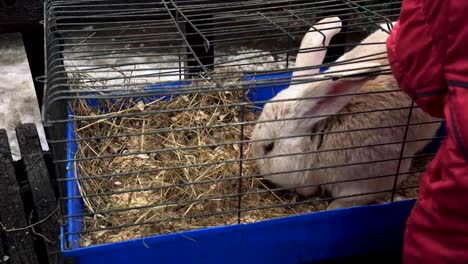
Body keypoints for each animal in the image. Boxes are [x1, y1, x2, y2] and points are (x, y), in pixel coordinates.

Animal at [250, 17, 440, 210]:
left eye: (269, 147)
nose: (260, 171)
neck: (319, 139)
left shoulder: (368, 184)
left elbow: (342, 203)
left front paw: (331, 207)